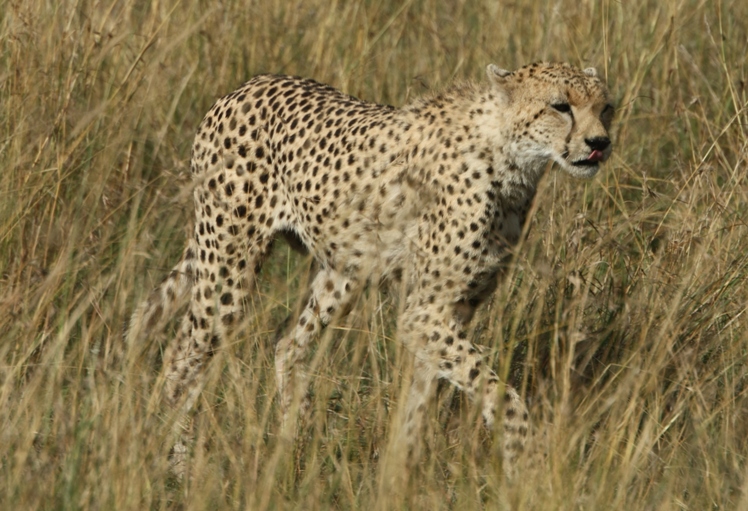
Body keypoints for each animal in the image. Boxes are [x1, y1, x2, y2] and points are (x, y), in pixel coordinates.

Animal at [127, 62, 614, 479]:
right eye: (560, 105)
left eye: (605, 107)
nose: (599, 143)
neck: (511, 160)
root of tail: (245, 86)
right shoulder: (426, 313)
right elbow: (499, 393)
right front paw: (521, 457)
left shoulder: (452, 310)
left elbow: (422, 397)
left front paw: (402, 469)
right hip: (228, 267)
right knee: (184, 356)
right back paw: (173, 459)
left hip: (342, 271)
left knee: (286, 345)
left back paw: (294, 442)